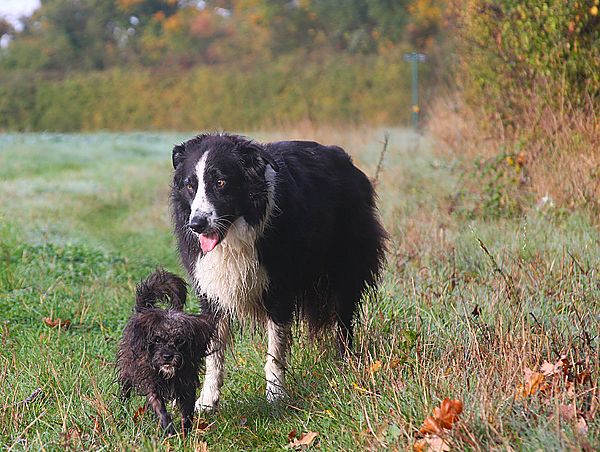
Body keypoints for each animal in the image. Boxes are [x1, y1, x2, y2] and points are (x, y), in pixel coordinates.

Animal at [116, 268, 212, 434]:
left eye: (180, 340)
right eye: (157, 340)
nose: (168, 356)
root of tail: (143, 309)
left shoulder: (186, 386)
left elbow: (187, 412)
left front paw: (186, 433)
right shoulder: (151, 384)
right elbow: (160, 408)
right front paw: (169, 430)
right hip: (127, 371)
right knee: (125, 391)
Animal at [170, 132, 384, 412]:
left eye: (220, 183)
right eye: (190, 186)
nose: (197, 224)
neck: (235, 232)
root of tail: (344, 159)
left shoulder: (279, 285)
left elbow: (276, 346)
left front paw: (275, 395)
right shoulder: (211, 286)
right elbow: (213, 351)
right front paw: (206, 402)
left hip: (346, 257)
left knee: (343, 315)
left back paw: (345, 362)